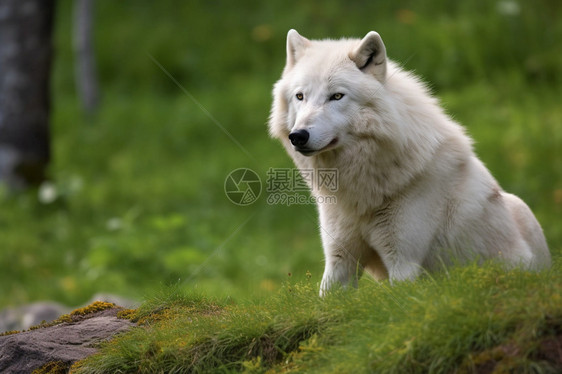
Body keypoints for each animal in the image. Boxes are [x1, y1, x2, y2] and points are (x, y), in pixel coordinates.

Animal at [266, 29, 548, 294]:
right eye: (300, 97)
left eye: (336, 96)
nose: (298, 136)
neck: (361, 191)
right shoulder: (340, 261)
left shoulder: (403, 263)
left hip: (520, 208)